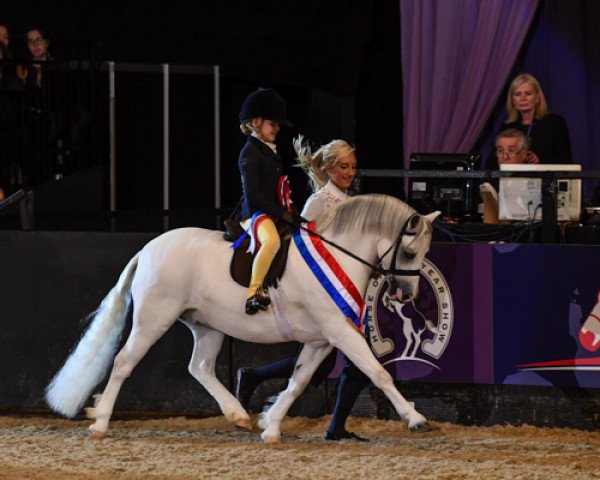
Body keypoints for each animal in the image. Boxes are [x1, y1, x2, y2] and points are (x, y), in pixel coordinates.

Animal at [45, 194, 436, 442]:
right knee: (124, 361)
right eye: (410, 251)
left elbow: (298, 381)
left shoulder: (319, 340)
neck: (337, 255)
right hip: (154, 319)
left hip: (207, 325)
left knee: (200, 367)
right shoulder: (339, 332)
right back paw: (100, 423)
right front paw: (416, 418)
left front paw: (271, 426)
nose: (406, 295)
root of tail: (148, 248)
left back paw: (238, 414)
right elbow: (378, 372)